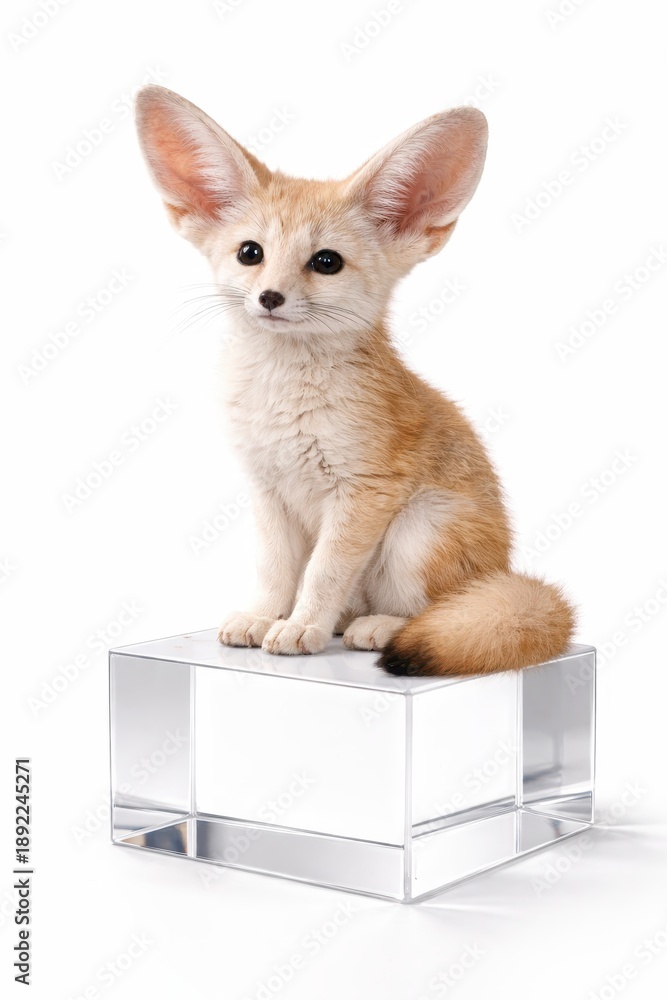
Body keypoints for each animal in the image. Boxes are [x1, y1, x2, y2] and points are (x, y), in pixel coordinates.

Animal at [135, 85, 575, 676]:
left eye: (326, 262)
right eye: (251, 253)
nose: (269, 297)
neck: (285, 401)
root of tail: (503, 570)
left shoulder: (363, 491)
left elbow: (323, 574)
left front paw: (301, 627)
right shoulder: (267, 489)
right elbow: (275, 571)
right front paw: (263, 617)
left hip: (417, 530)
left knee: (436, 612)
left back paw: (379, 627)